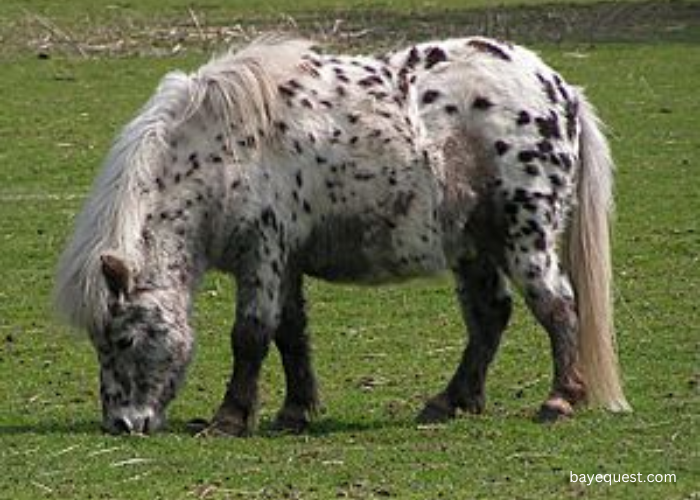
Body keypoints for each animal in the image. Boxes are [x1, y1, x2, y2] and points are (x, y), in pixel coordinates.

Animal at [54, 36, 632, 434]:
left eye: (124, 339)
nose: (122, 424)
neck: (220, 150)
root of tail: (561, 91)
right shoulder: (284, 260)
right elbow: (290, 333)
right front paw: (294, 411)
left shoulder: (262, 252)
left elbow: (251, 335)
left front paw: (230, 419)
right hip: (474, 243)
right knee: (490, 316)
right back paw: (449, 402)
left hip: (524, 235)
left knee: (558, 307)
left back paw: (558, 400)